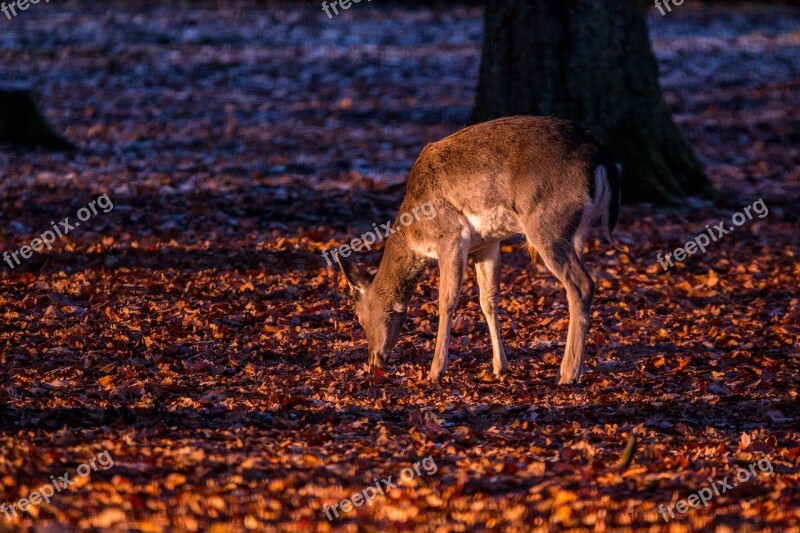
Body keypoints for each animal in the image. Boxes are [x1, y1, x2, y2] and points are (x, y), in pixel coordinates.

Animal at [334, 115, 620, 382]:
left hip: (547, 222)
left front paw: (435, 371)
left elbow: (447, 301)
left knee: (582, 285)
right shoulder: (487, 243)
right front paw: (500, 367)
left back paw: (568, 374)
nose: (373, 361)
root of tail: (603, 159)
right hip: (577, 231)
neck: (414, 232)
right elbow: (488, 300)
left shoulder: (449, 237)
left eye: (359, 317)